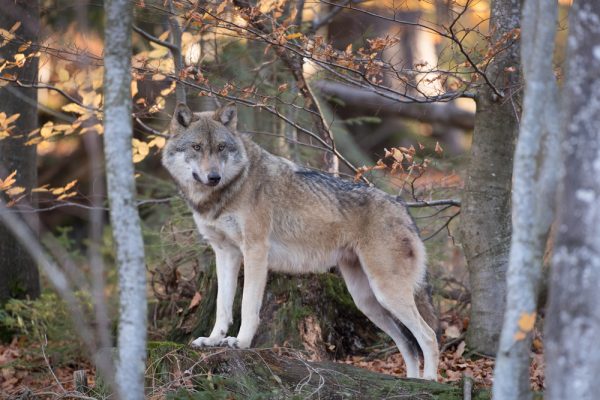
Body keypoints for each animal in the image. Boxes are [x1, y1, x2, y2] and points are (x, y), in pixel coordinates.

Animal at [162, 101, 438, 380]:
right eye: (197, 147)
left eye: (220, 147)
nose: (214, 177)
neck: (229, 188)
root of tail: (403, 207)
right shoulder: (225, 252)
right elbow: (223, 305)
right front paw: (213, 340)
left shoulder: (255, 250)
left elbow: (248, 304)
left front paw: (240, 343)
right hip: (367, 301)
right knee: (408, 344)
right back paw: (413, 381)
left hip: (386, 292)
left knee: (429, 336)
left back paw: (429, 380)